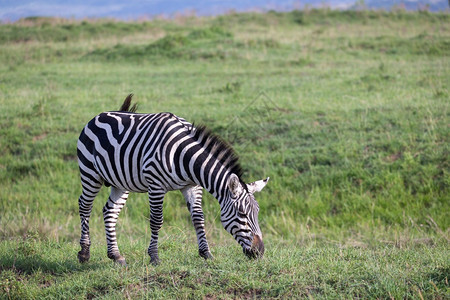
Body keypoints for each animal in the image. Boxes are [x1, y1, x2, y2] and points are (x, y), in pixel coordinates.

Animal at [76, 95, 268, 266]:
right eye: (242, 214)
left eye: (257, 213)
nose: (259, 252)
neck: (183, 155)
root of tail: (100, 115)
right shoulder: (156, 184)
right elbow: (156, 220)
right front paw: (154, 257)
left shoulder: (192, 186)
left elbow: (198, 217)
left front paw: (206, 253)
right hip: (90, 173)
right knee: (85, 205)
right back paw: (84, 253)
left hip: (120, 182)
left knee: (110, 211)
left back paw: (116, 255)